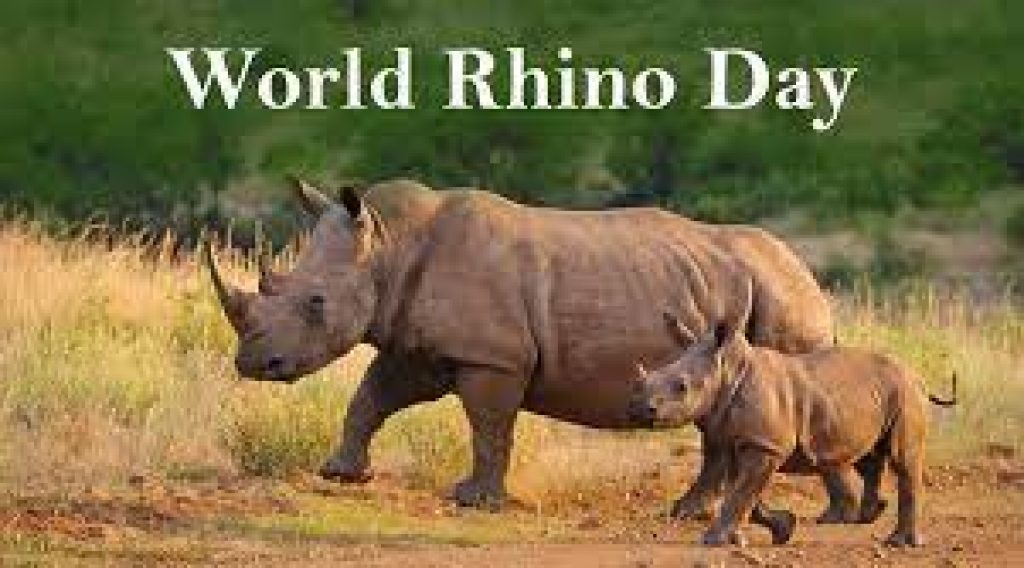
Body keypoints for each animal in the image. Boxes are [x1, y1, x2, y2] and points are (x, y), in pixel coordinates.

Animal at [204, 178, 836, 511]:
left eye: (315, 303)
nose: (253, 363)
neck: (386, 245)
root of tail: (811, 277)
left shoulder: (494, 356)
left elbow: (488, 426)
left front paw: (473, 500)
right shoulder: (417, 346)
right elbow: (371, 397)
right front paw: (341, 474)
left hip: (781, 301)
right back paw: (688, 512)